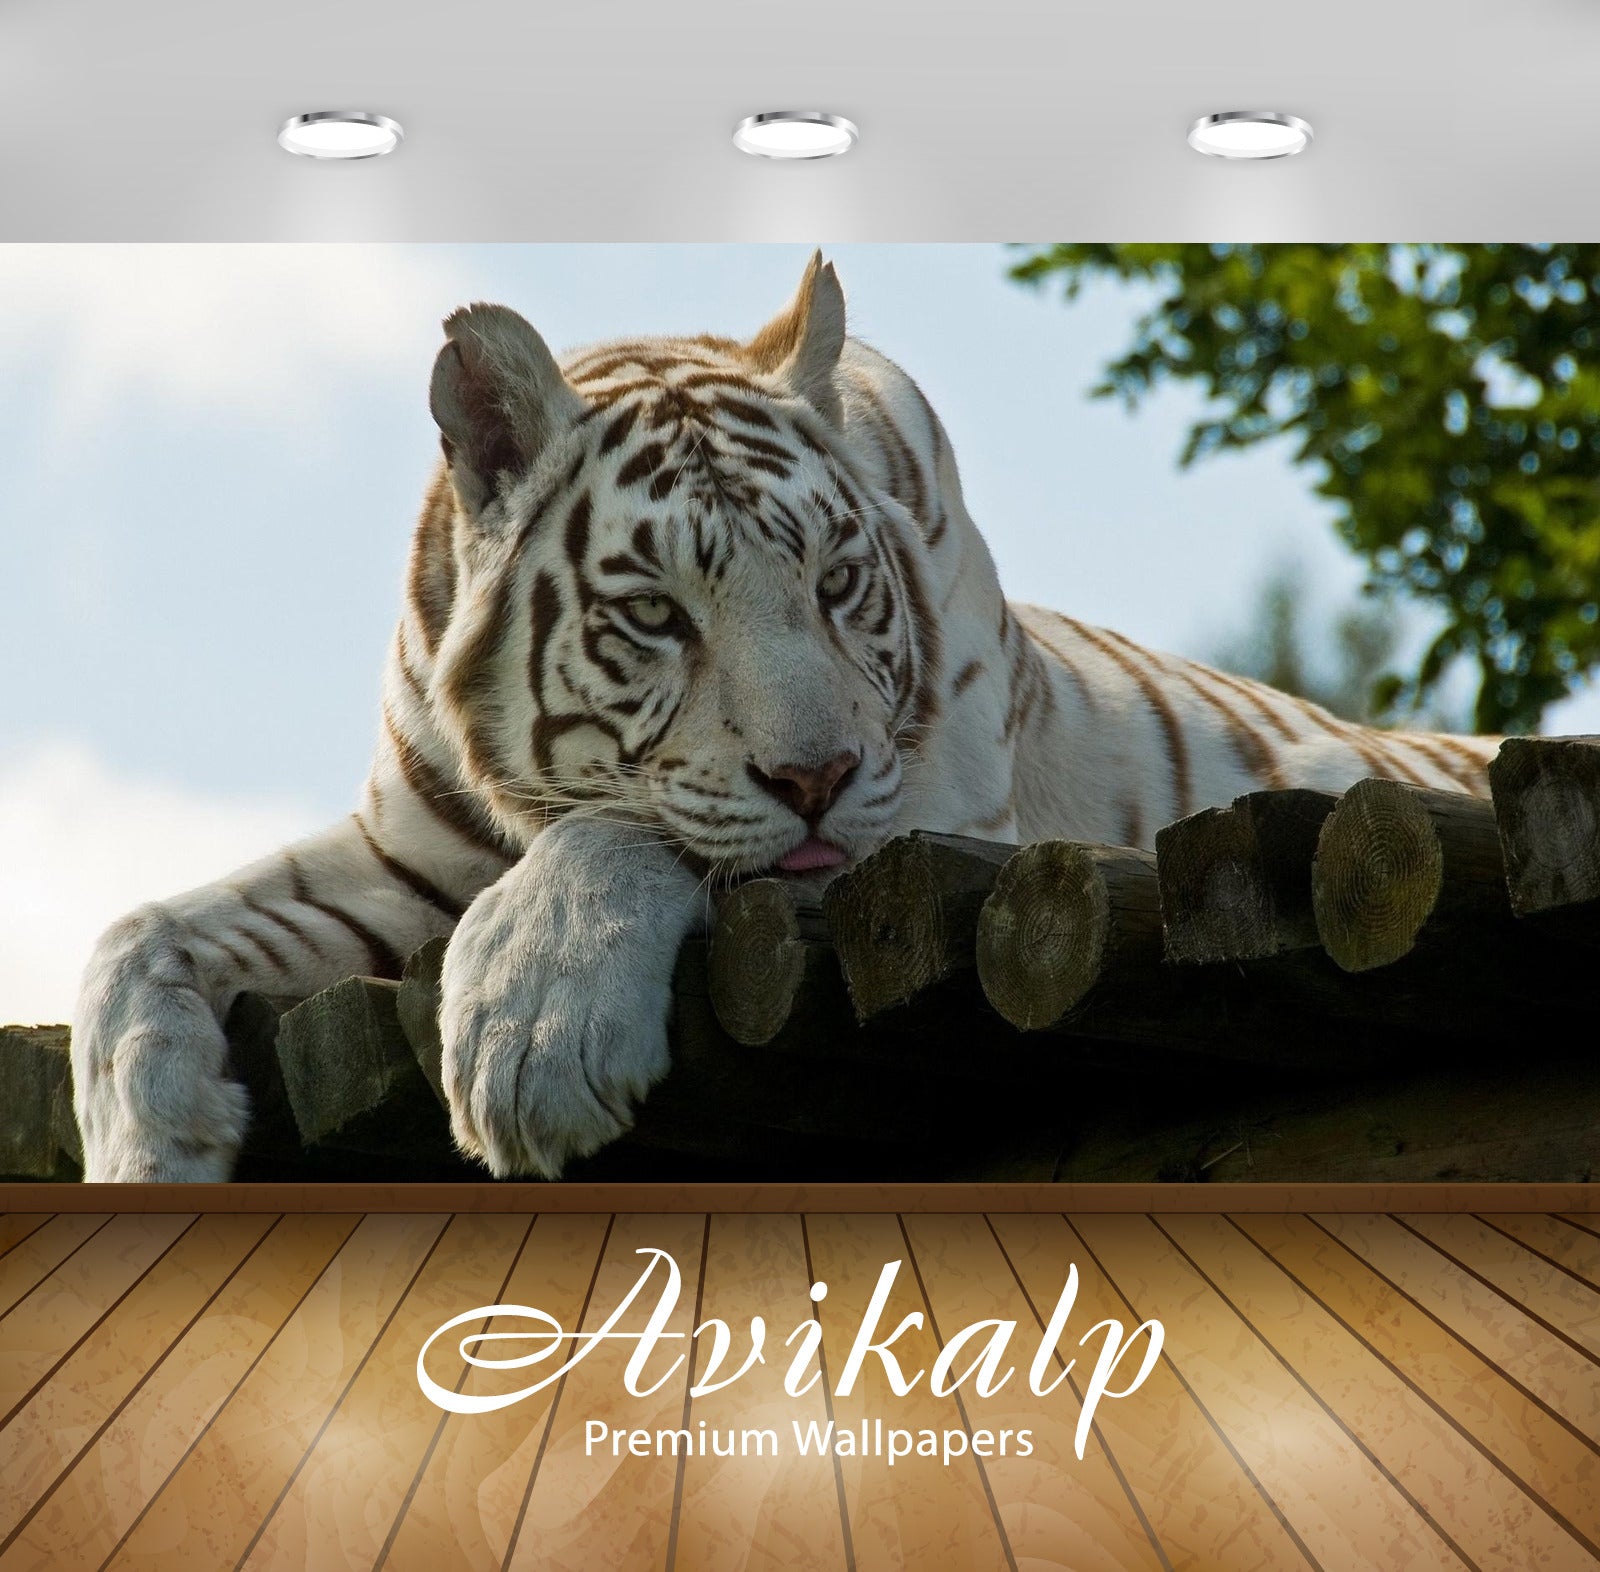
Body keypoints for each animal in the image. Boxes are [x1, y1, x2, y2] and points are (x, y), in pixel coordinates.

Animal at [72, 251, 1500, 1182]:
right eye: (656, 614)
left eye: (833, 582)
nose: (815, 775)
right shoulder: (401, 856)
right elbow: (138, 930)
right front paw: (149, 1140)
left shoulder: (931, 818)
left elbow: (632, 831)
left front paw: (530, 1038)